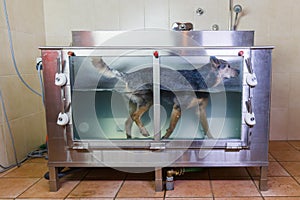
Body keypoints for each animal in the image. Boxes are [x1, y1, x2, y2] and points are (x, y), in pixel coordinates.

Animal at [91, 56, 239, 139]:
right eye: (228, 66)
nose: (239, 71)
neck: (202, 79)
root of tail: (127, 75)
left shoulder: (200, 110)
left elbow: (207, 128)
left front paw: (212, 139)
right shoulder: (178, 107)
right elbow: (172, 127)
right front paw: (165, 138)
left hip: (135, 103)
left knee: (129, 121)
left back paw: (130, 138)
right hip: (148, 100)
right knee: (135, 116)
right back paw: (144, 132)